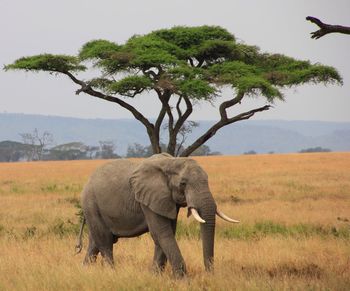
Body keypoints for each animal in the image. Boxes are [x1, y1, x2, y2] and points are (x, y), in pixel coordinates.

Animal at [75, 154, 239, 278]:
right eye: (183, 184)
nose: (210, 274)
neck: (172, 162)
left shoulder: (167, 200)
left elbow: (167, 232)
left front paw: (155, 276)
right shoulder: (148, 199)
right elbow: (161, 233)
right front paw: (183, 280)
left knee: (94, 243)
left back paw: (85, 271)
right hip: (91, 204)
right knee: (105, 241)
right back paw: (112, 273)